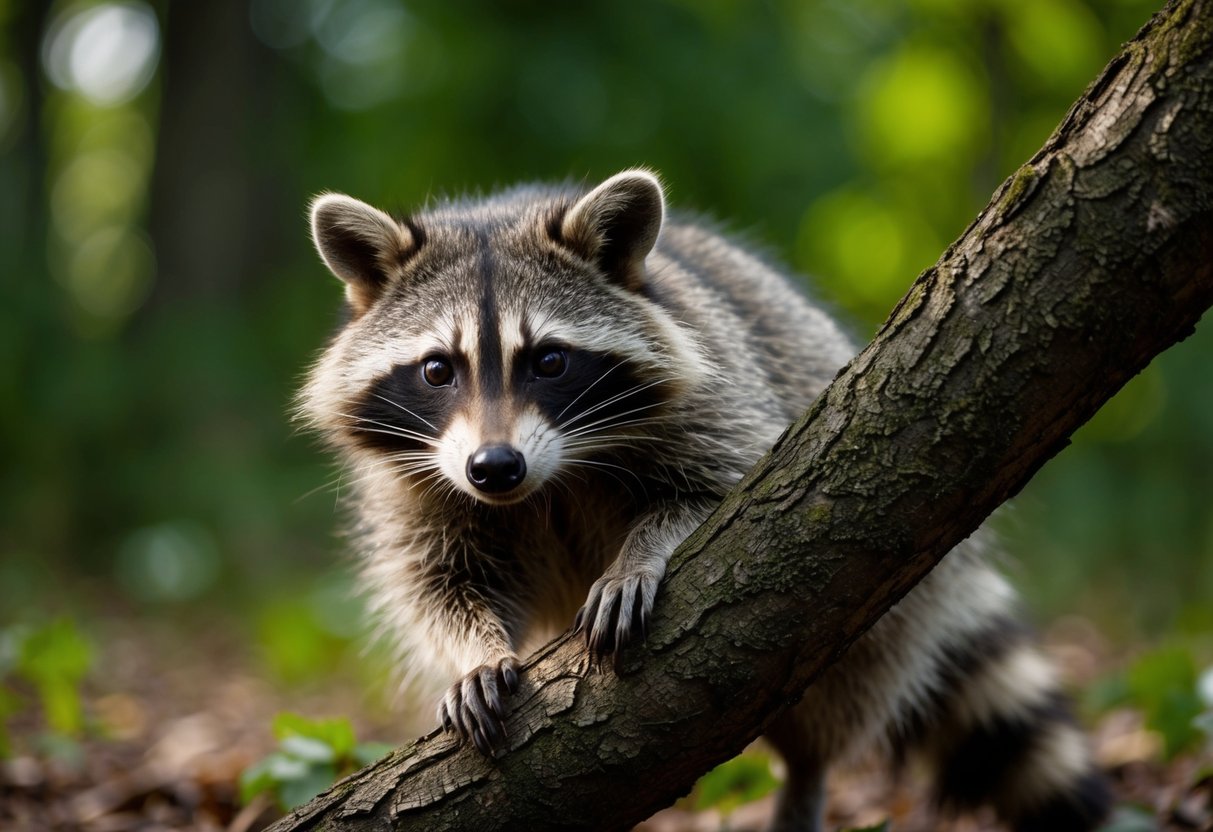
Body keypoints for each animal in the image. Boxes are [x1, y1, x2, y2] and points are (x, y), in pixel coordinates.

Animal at [298, 169, 1111, 831]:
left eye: (549, 361)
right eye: (438, 369)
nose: (493, 468)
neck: (546, 482)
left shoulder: (717, 392)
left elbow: (724, 486)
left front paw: (640, 555)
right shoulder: (420, 481)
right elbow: (436, 581)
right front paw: (471, 650)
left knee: (841, 704)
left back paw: (807, 776)